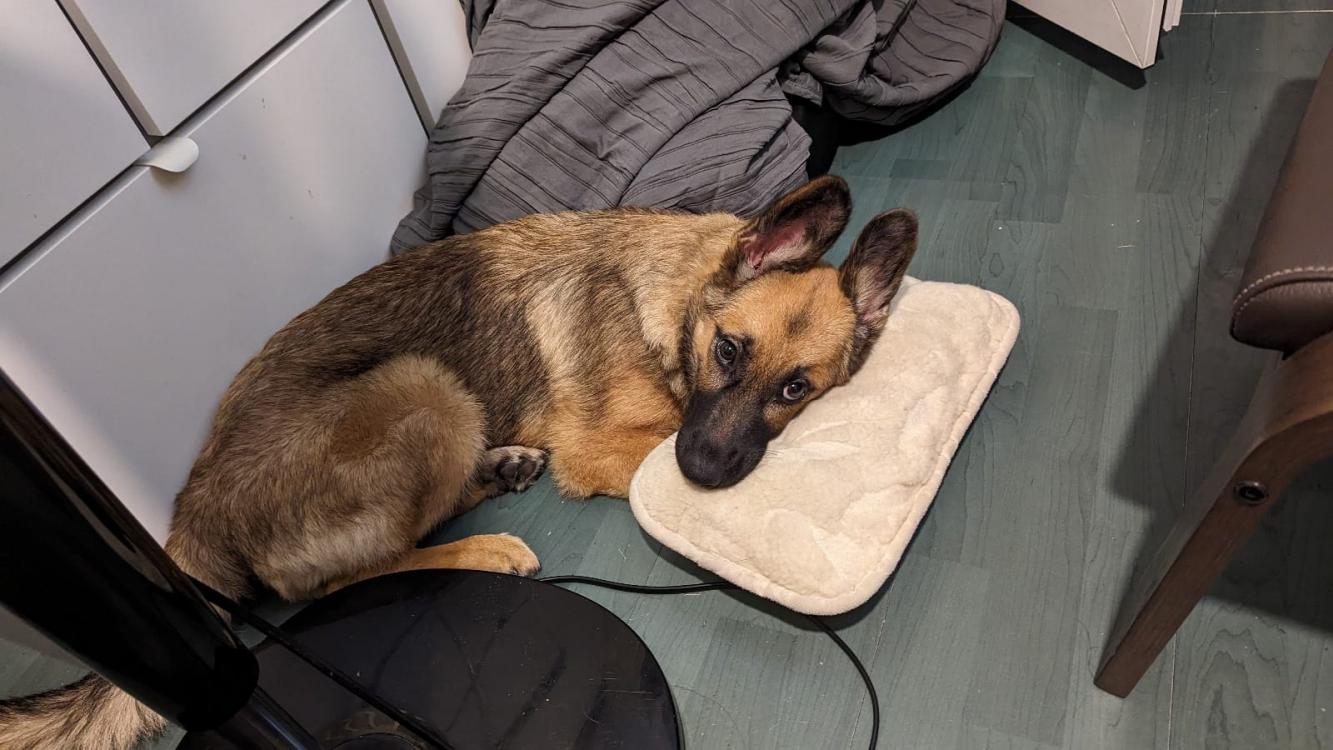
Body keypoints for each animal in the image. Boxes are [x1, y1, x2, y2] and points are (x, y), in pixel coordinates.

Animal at [0, 175, 917, 749]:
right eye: (727, 352)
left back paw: (498, 470)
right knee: (340, 580)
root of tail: (191, 508)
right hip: (427, 385)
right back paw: (480, 546)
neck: (672, 300)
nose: (707, 472)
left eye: (796, 389)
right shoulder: (609, 445)